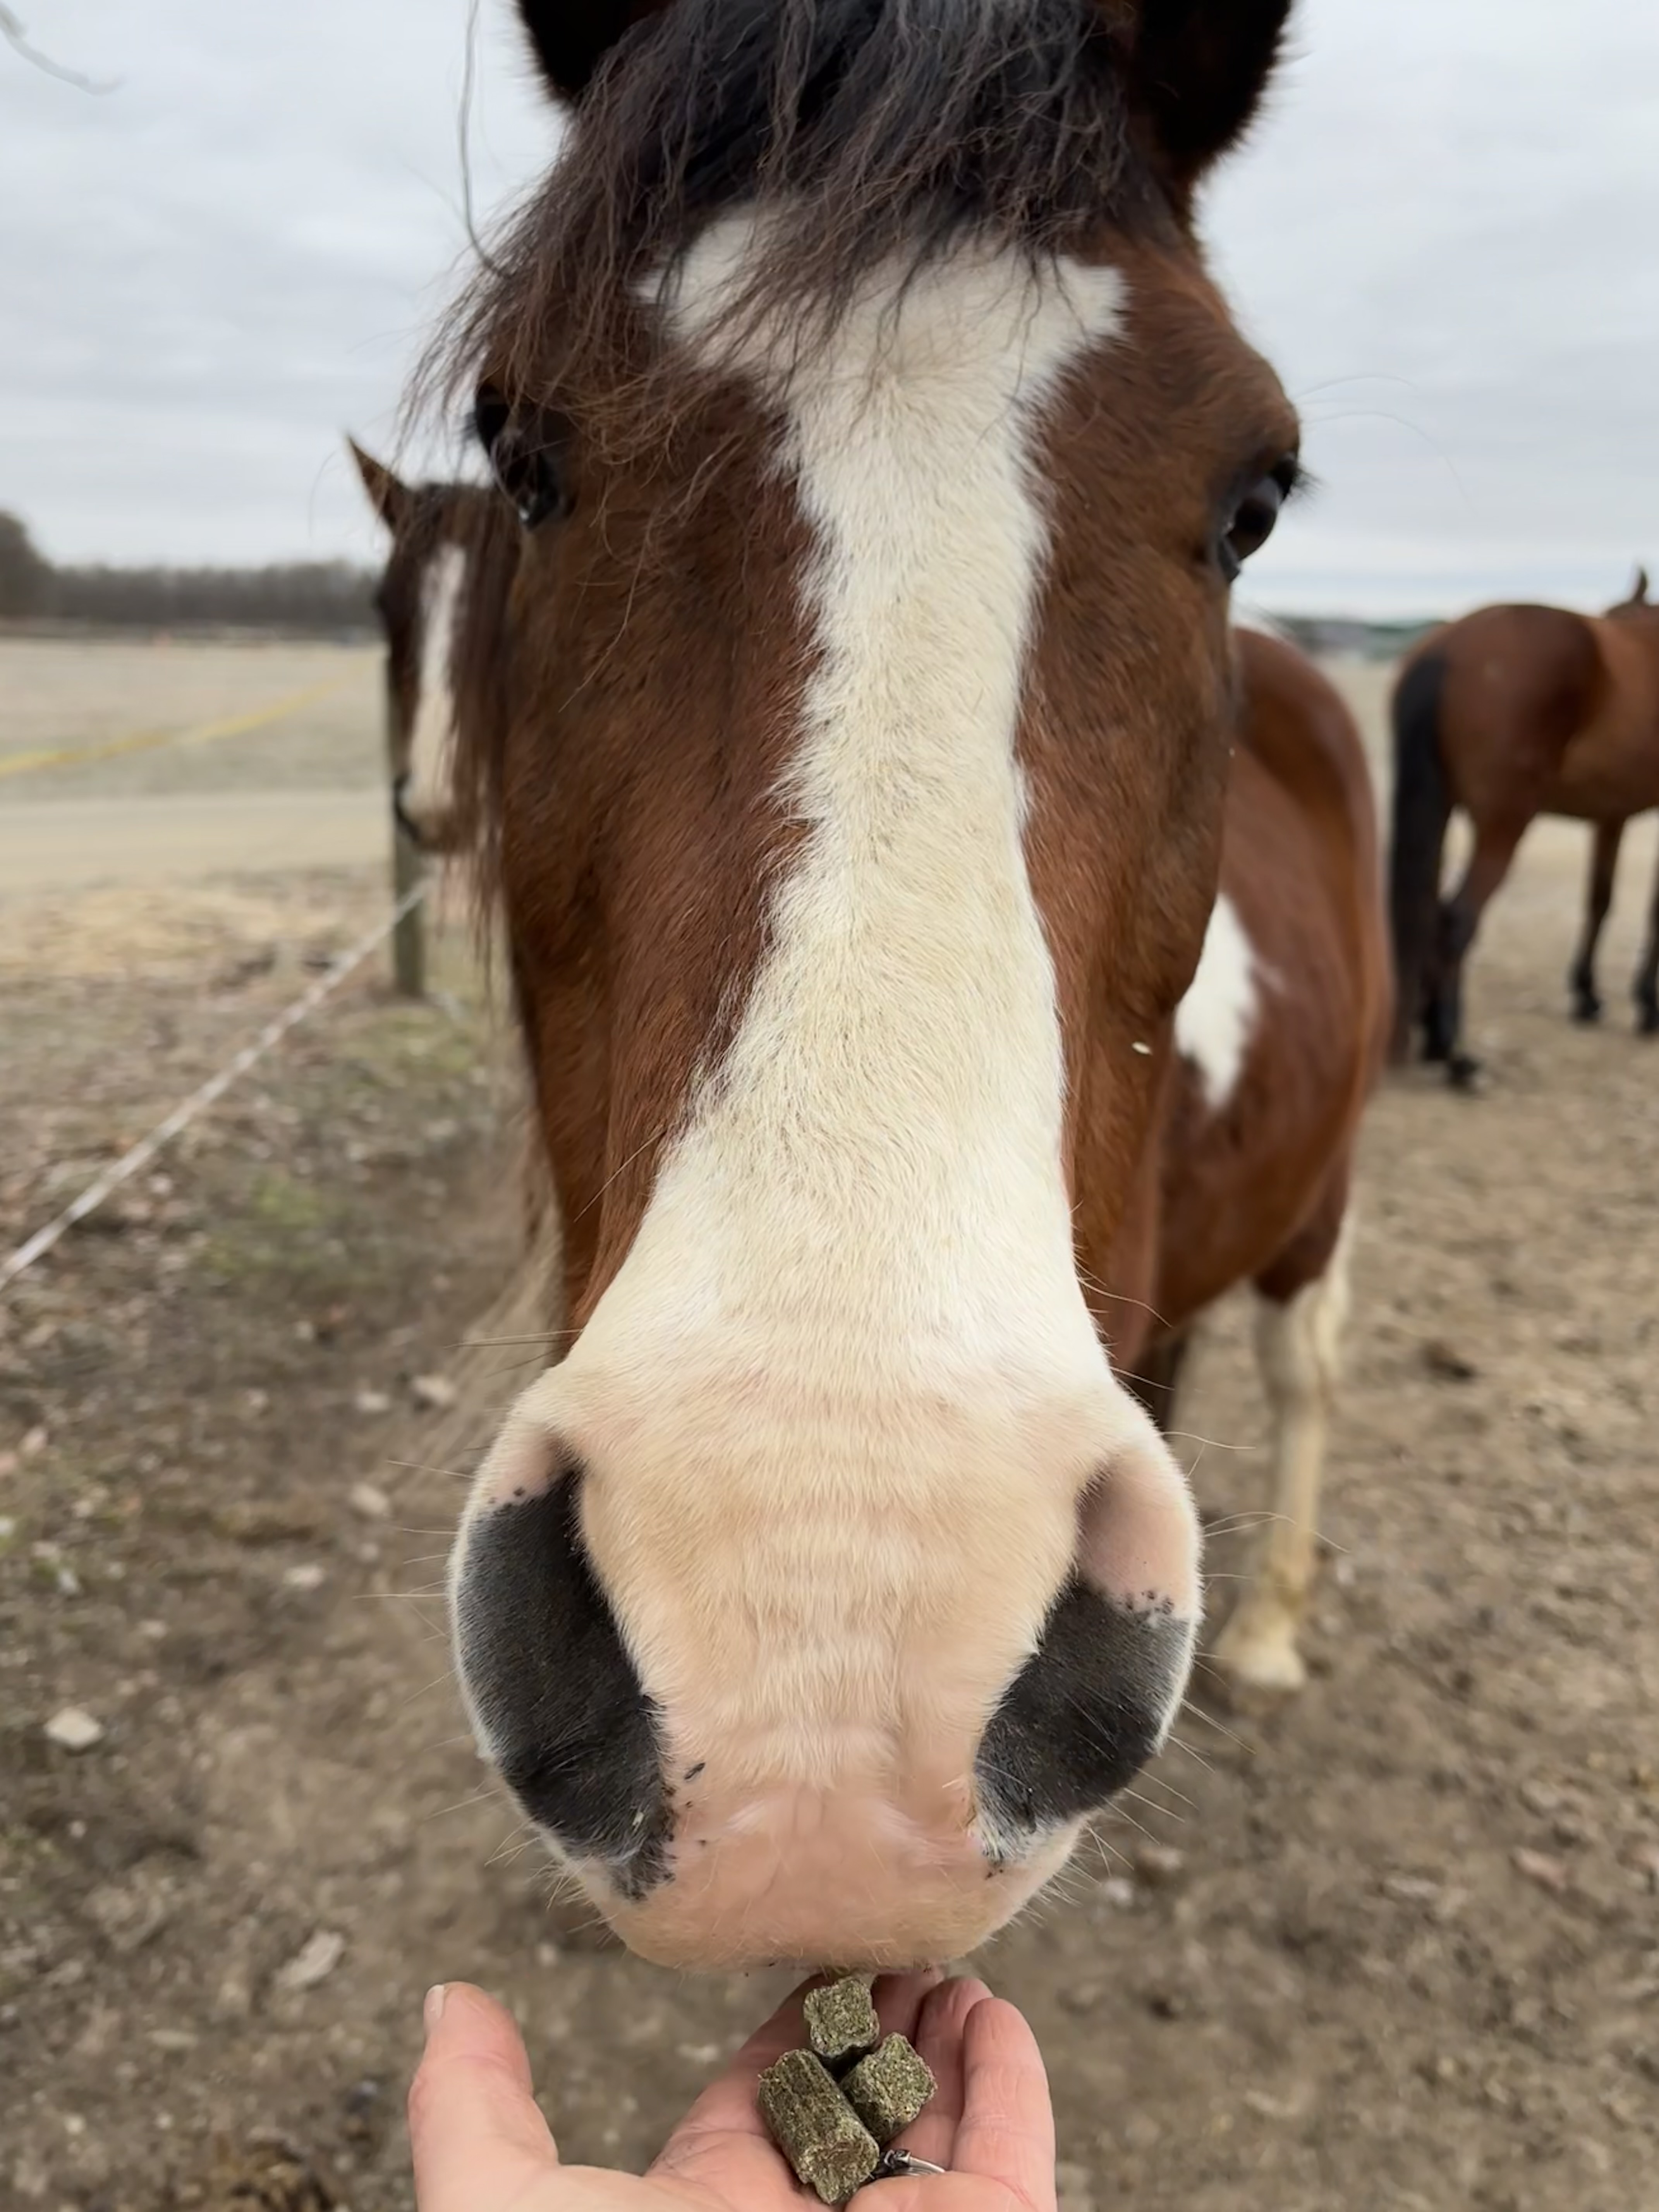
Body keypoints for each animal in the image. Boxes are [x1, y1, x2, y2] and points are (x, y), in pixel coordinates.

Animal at [1389, 562, 1659, 1079]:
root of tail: (1448, 648)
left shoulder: (1611, 815)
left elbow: (1600, 899)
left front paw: (1587, 995)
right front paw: (1647, 1007)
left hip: (1440, 807)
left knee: (1429, 910)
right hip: (1504, 824)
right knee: (1457, 919)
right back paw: (1454, 1053)